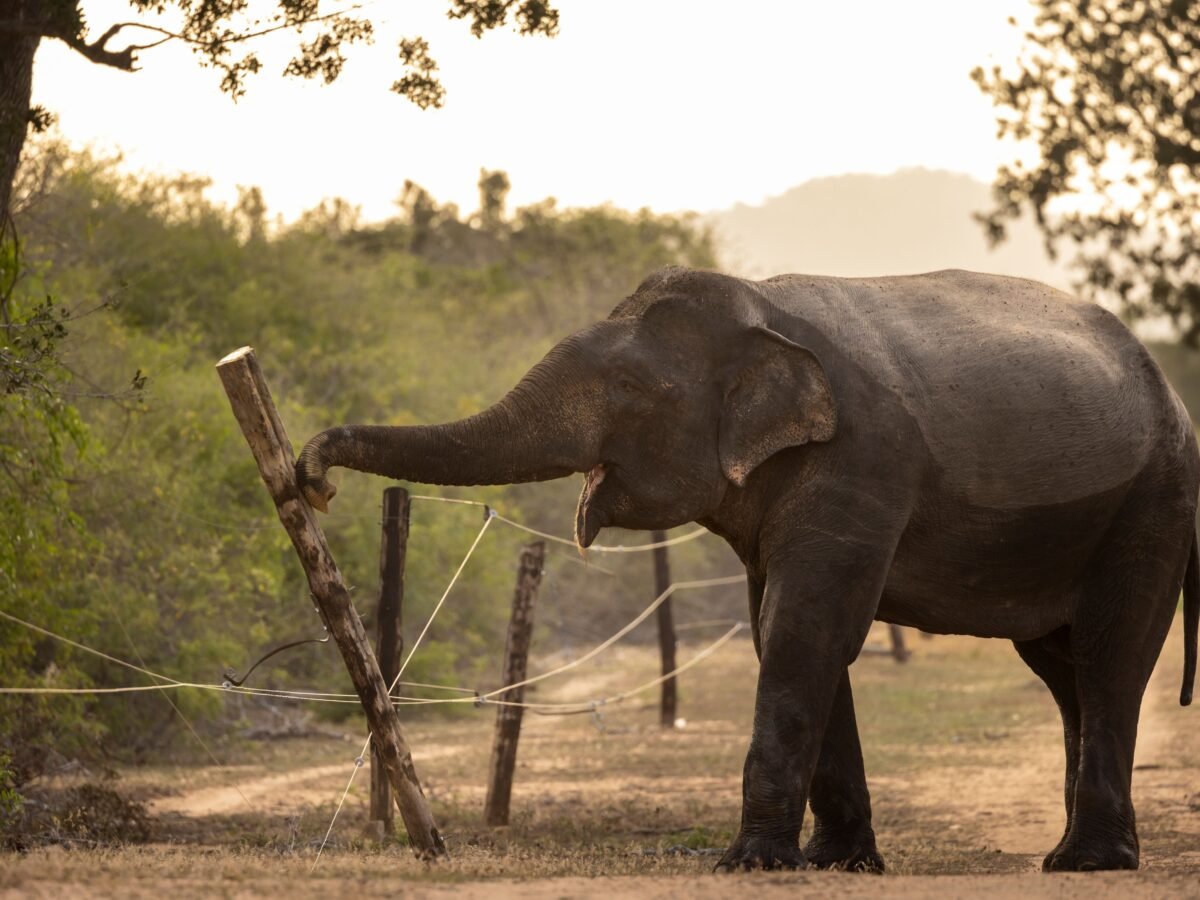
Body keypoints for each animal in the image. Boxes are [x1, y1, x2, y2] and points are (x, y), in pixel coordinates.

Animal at [297, 266, 1199, 873]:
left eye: (629, 387)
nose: (314, 479)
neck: (764, 312)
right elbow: (782, 632)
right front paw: (837, 864)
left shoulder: (862, 462)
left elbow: (807, 629)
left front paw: (751, 862)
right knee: (1062, 668)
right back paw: (1072, 851)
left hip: (1154, 503)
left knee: (1110, 657)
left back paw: (1089, 862)